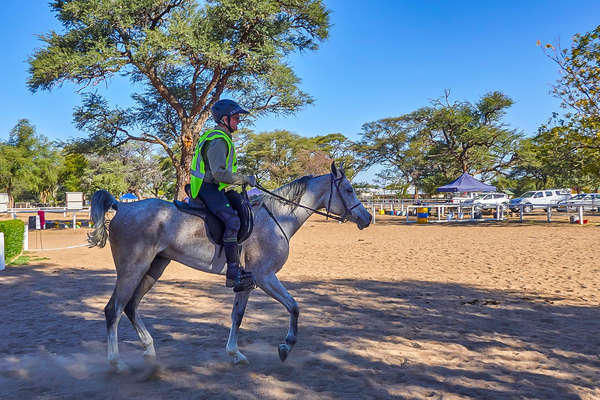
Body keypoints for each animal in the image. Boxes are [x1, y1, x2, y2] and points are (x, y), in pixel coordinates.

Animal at [88, 162, 370, 372]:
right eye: (348, 190)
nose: (367, 218)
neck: (277, 217)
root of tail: (122, 207)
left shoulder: (247, 282)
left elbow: (238, 315)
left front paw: (235, 354)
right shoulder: (265, 277)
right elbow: (294, 307)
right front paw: (285, 347)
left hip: (154, 268)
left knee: (131, 306)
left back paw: (149, 350)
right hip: (132, 269)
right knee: (114, 309)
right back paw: (116, 362)